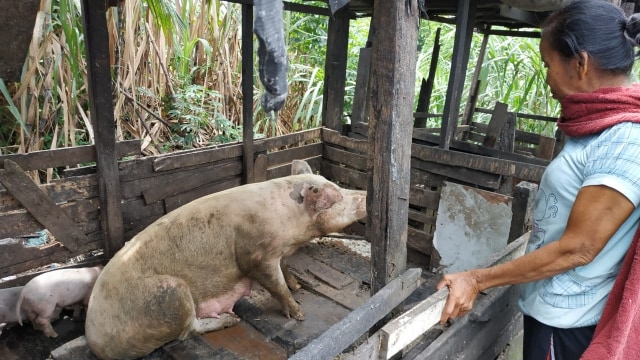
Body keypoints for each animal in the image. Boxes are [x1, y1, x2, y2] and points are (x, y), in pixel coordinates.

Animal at [86, 160, 364, 360]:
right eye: (339, 196)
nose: (363, 193)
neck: (290, 225)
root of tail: (94, 340)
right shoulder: (257, 255)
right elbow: (276, 285)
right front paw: (299, 314)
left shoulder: (279, 253)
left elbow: (286, 270)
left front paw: (297, 286)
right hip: (171, 295)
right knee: (188, 331)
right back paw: (232, 320)